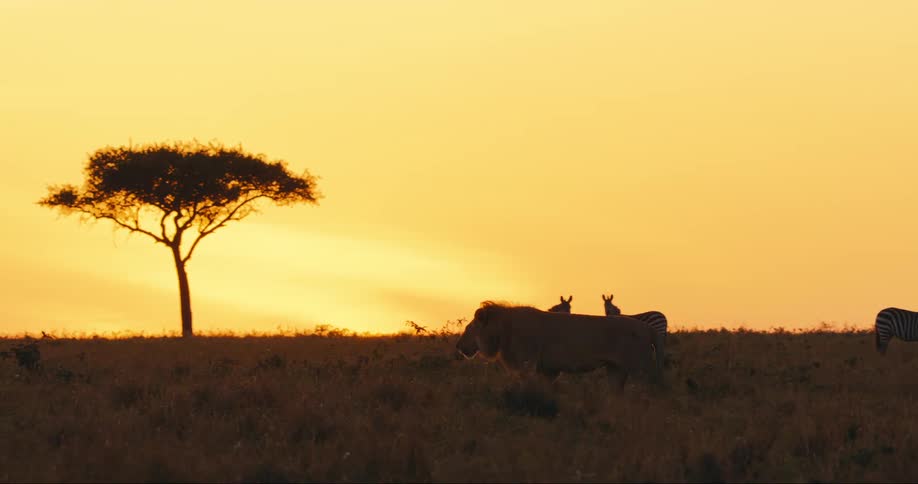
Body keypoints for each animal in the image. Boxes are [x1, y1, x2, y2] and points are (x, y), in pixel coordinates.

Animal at [456, 301, 663, 389]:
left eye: (469, 327)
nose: (458, 346)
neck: (503, 330)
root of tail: (648, 328)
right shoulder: (548, 370)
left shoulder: (526, 365)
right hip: (615, 370)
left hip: (639, 368)